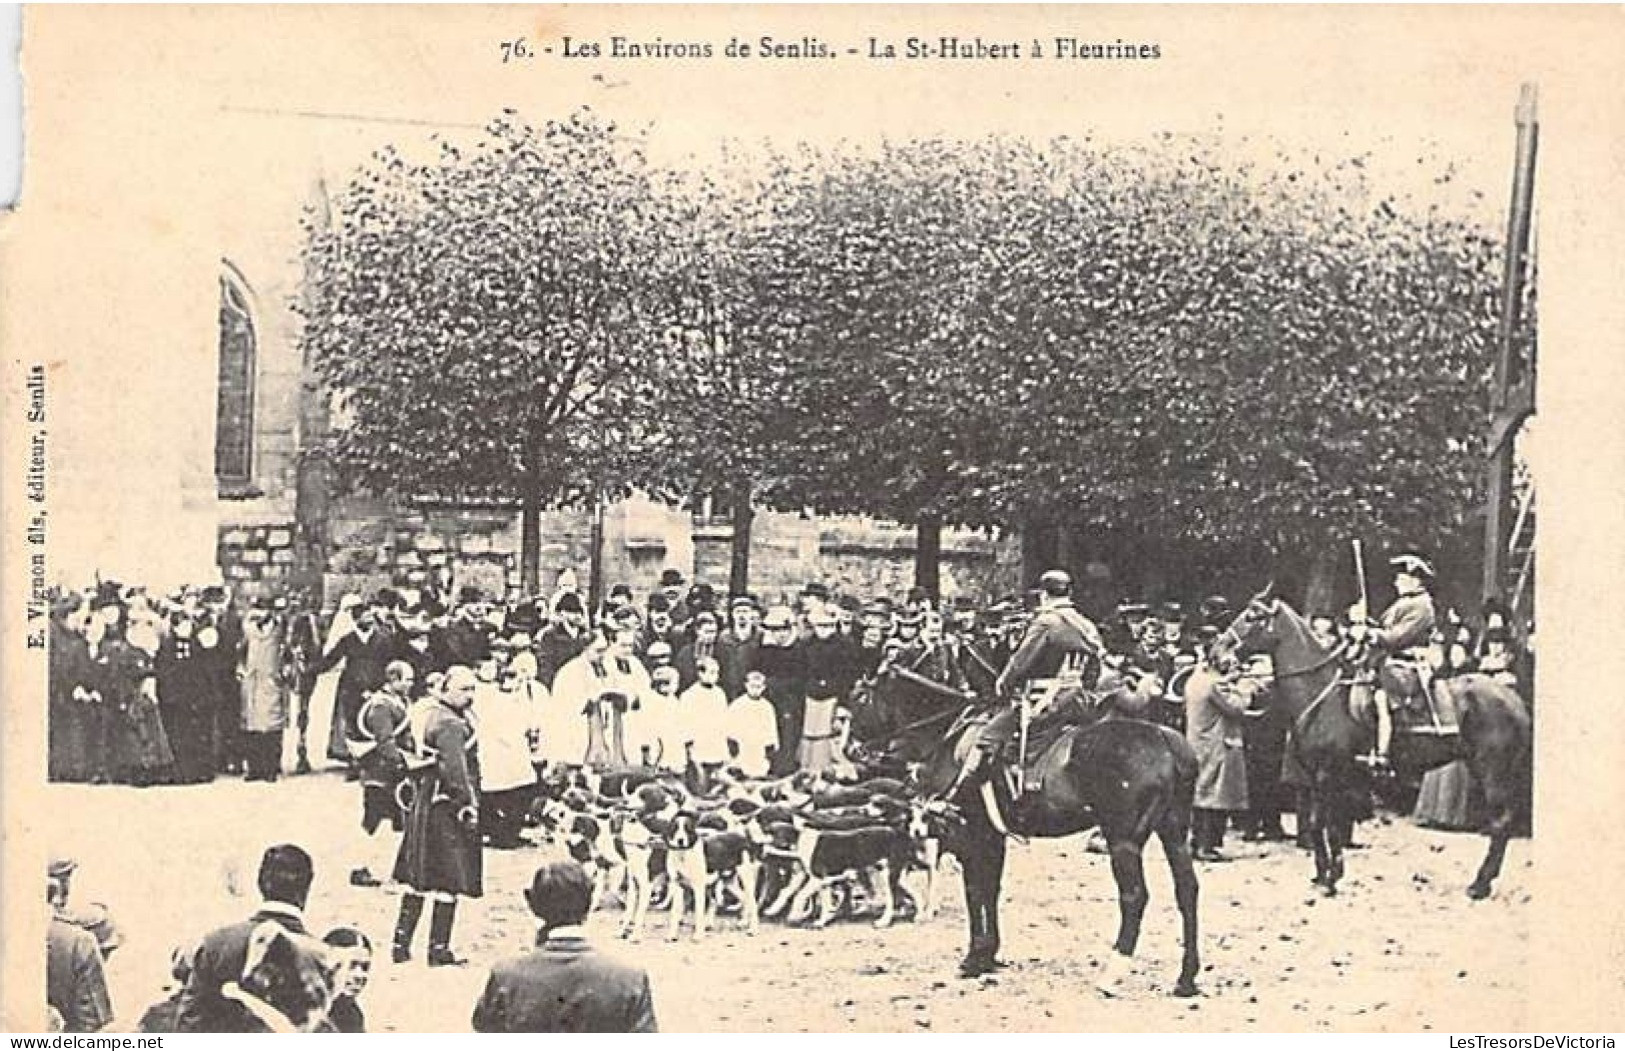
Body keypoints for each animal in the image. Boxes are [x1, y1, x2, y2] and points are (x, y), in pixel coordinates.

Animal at [845, 662, 1202, 1000]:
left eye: (860, 698)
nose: (851, 752)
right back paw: (1186, 978)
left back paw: (1111, 974)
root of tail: (1165, 740)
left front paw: (973, 958)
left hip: (1123, 840)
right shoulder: (993, 836)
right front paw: (989, 955)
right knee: (1187, 890)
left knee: (1134, 897)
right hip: (1174, 832)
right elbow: (991, 889)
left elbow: (974, 891)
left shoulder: (971, 834)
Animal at [1209, 588, 1534, 903]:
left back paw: (1480, 885)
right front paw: (1323, 875)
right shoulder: (1316, 777)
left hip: (1494, 772)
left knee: (1501, 823)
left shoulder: (1329, 775)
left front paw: (1331, 879)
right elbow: (1316, 824)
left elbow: (1329, 824)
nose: (1216, 654)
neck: (1322, 695)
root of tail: (1514, 699)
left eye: (1252, 616)